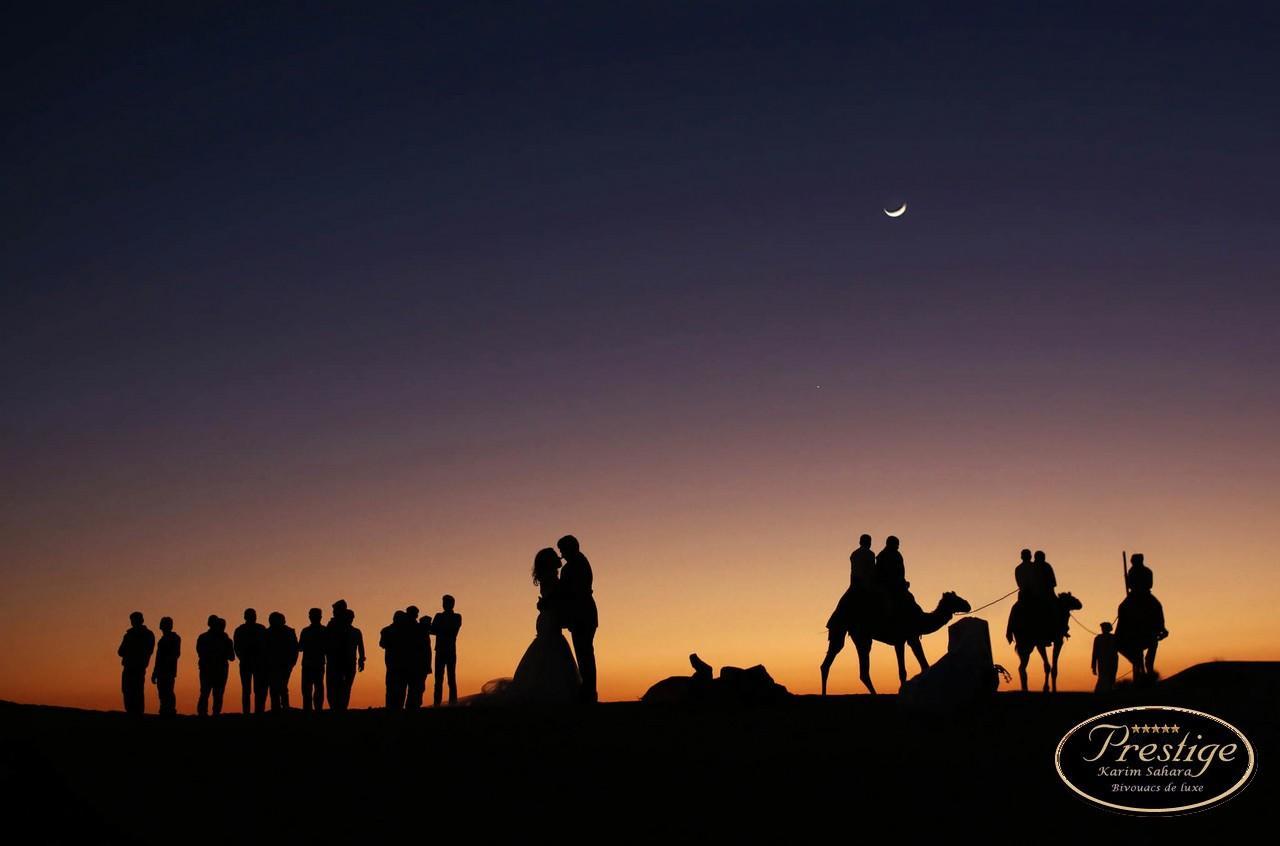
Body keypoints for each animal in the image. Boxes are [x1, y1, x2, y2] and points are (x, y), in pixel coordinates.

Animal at [819, 586, 967, 691]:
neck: (919, 619)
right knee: (860, 669)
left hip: (848, 633)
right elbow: (904, 671)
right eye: (956, 599)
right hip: (857, 633)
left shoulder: (910, 638)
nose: (968, 604)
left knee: (830, 662)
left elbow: (923, 665)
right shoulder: (902, 639)